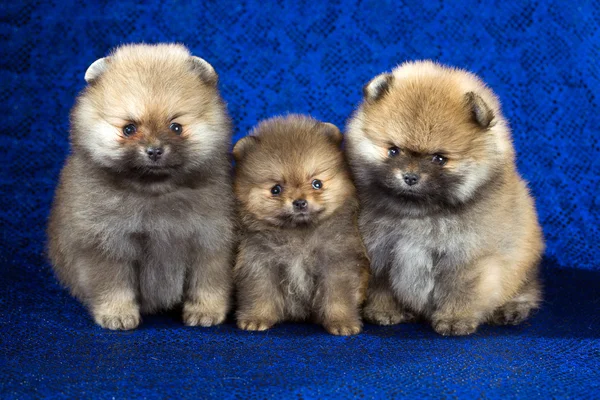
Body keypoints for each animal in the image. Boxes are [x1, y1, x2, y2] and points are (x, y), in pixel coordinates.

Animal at [48, 44, 236, 332]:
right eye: (129, 128)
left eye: (176, 126)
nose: (154, 150)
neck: (154, 191)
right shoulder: (107, 242)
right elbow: (113, 285)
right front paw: (117, 314)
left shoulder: (209, 237)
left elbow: (208, 281)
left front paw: (205, 311)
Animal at [231, 115, 368, 334]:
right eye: (276, 189)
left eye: (317, 183)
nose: (300, 202)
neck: (298, 235)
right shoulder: (260, 263)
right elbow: (260, 293)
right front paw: (256, 318)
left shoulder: (336, 262)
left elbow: (337, 296)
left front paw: (342, 322)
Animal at [344, 61, 548, 336]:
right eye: (393, 150)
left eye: (439, 158)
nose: (410, 177)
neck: (419, 214)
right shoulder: (381, 252)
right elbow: (382, 286)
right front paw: (384, 312)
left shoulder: (466, 257)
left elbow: (461, 291)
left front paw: (455, 320)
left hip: (522, 268)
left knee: (527, 290)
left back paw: (510, 310)